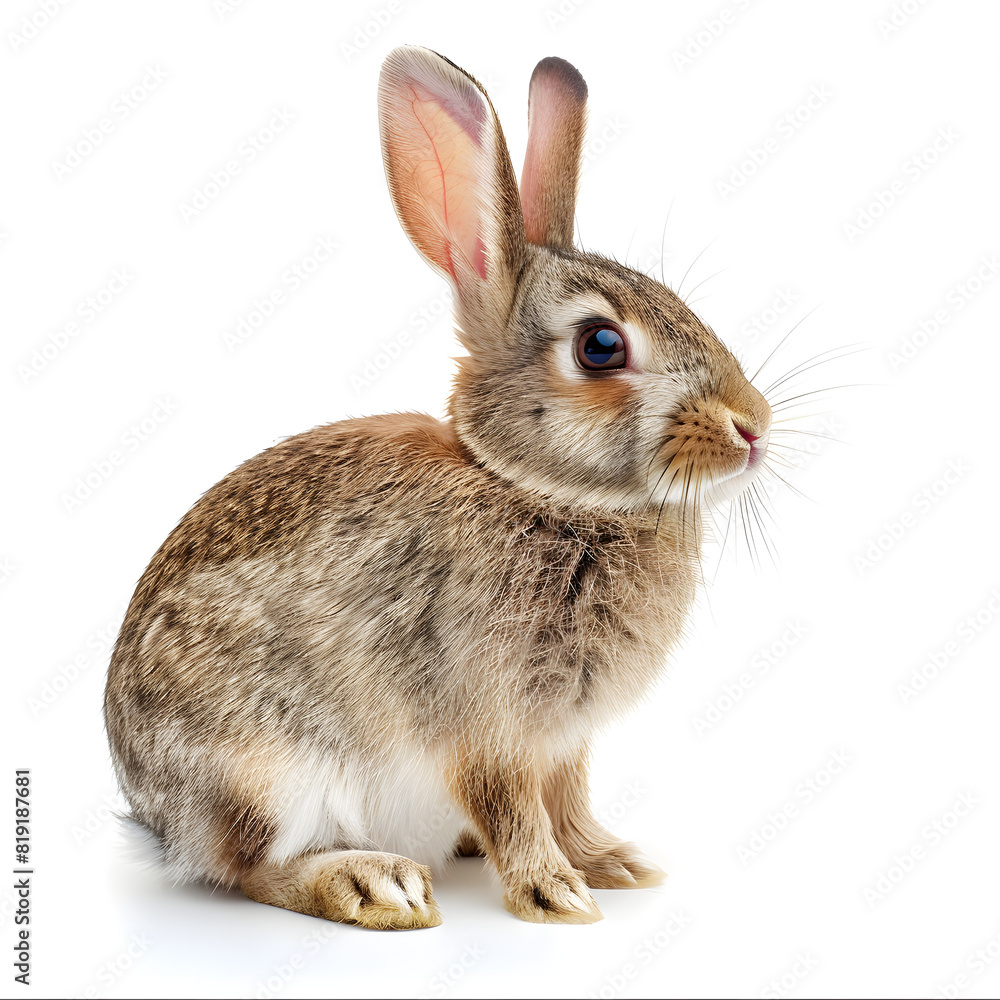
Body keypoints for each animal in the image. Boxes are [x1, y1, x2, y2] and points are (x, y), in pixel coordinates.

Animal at [104, 45, 772, 929]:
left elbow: (567, 798)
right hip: (266, 770)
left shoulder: (563, 741)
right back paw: (373, 883)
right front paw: (555, 892)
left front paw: (612, 863)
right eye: (600, 346)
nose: (753, 426)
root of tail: (157, 818)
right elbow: (510, 803)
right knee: (245, 867)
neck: (538, 490)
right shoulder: (483, 716)